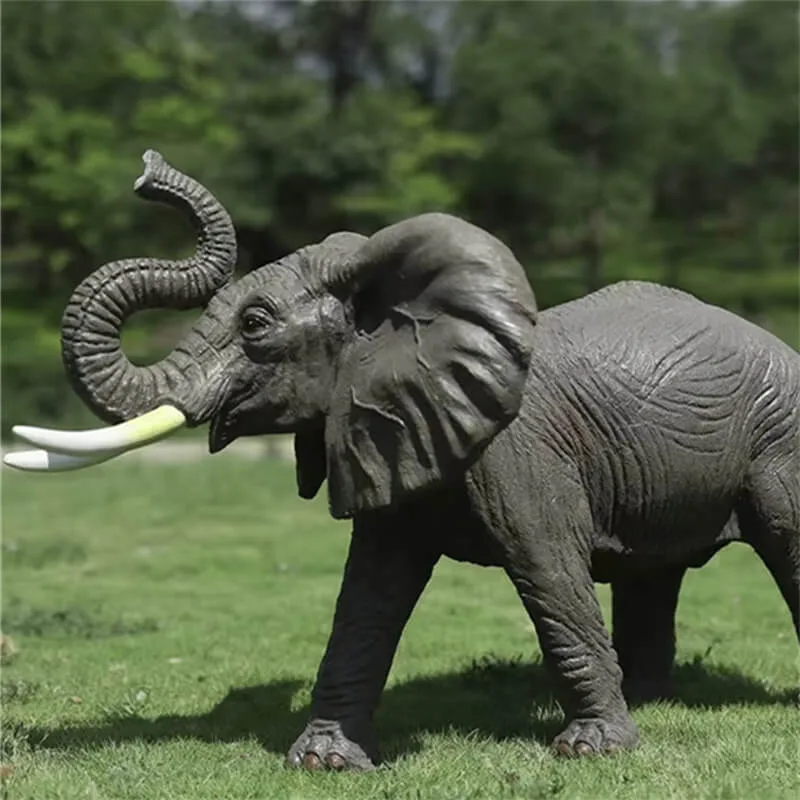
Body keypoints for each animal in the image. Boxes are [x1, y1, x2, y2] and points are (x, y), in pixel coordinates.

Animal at [6, 151, 799, 769]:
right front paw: (325, 762)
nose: (145, 173)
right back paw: (654, 699)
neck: (392, 309)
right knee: (651, 574)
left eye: (256, 325)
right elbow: (368, 592)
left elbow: (549, 570)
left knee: (783, 544)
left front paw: (593, 752)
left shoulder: (518, 450)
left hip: (780, 441)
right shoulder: (386, 428)